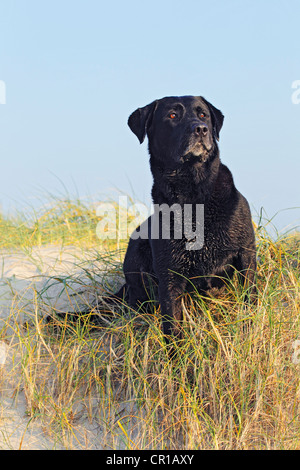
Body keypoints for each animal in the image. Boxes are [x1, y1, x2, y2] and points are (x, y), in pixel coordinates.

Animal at [112, 95, 255, 338]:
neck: (193, 195)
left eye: (203, 115)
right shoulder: (169, 275)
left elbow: (251, 296)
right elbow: (172, 325)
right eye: (172, 115)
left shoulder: (246, 252)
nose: (201, 129)